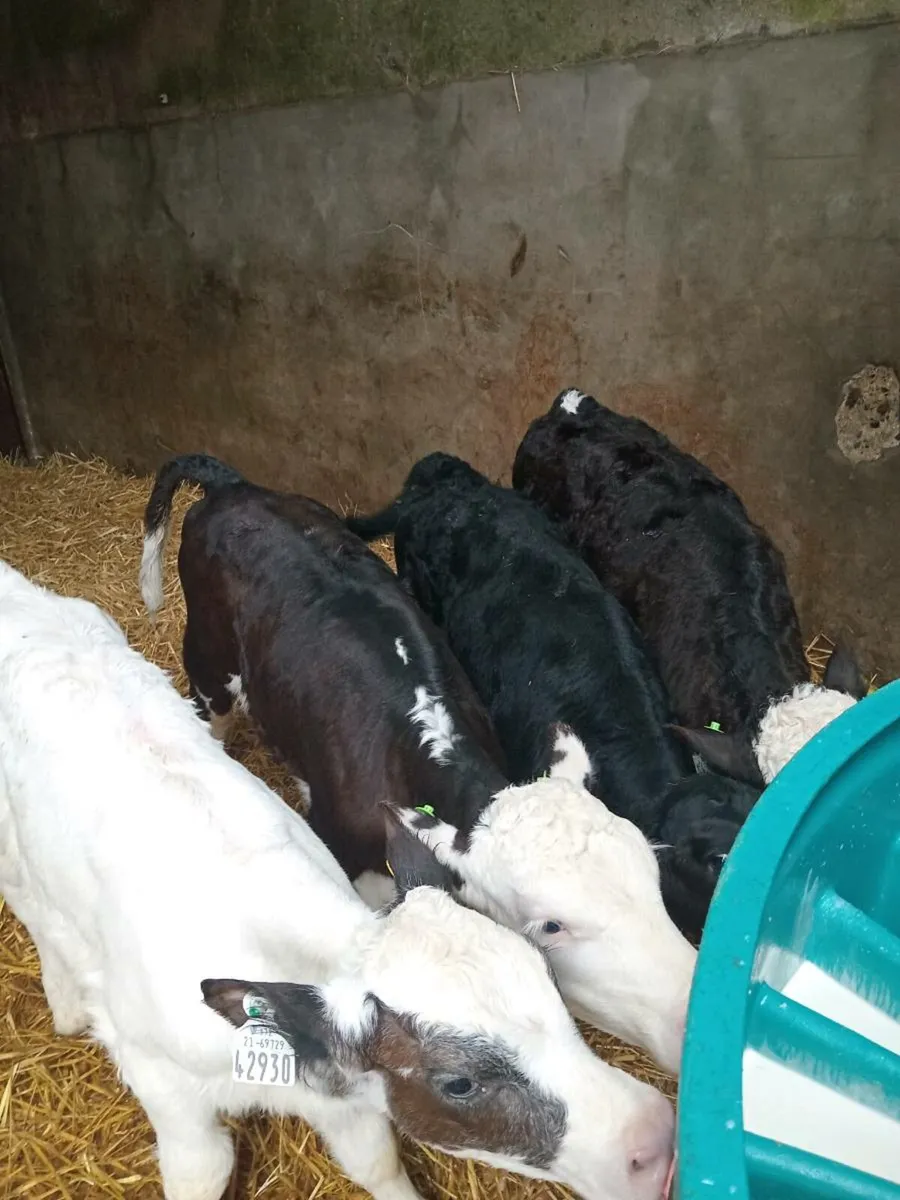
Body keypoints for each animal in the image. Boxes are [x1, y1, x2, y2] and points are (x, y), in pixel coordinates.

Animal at [139, 455, 695, 1074]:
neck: (416, 758)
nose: (690, 1021)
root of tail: (233, 488)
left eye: (651, 876)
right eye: (551, 925)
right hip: (208, 663)